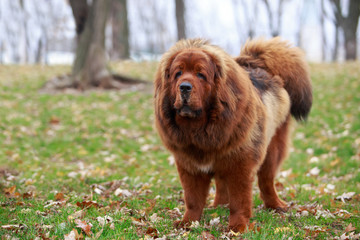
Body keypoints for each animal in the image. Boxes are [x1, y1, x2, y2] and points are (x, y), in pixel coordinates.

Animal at [154, 38, 312, 232]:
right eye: (178, 73)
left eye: (200, 75)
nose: (184, 87)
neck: (200, 131)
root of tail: (257, 64)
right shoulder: (190, 166)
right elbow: (192, 199)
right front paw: (188, 222)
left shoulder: (240, 164)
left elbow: (239, 200)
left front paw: (238, 226)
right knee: (222, 184)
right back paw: (219, 205)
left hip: (271, 150)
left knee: (266, 181)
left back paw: (276, 205)